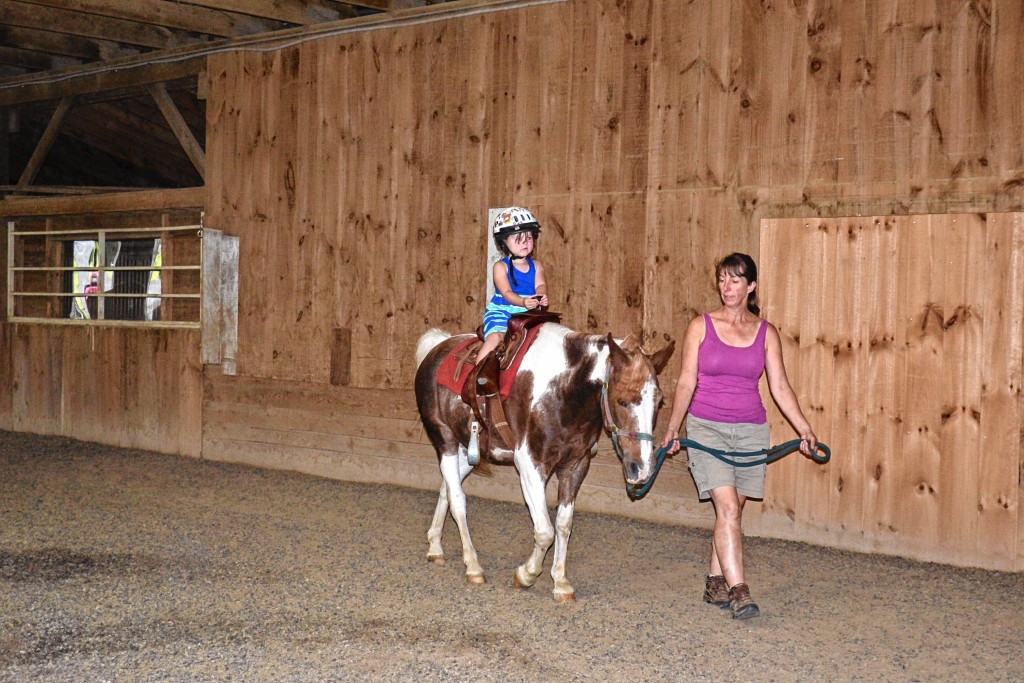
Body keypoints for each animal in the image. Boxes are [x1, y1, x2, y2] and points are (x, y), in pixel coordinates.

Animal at [411, 323, 675, 602]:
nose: (642, 468)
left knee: (446, 490)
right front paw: (526, 575)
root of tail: (437, 346)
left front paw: (560, 581)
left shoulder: (575, 466)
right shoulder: (530, 464)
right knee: (458, 501)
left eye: (659, 401)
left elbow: (563, 524)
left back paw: (435, 547)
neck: (562, 392)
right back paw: (473, 566)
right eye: (622, 400)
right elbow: (545, 530)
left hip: (465, 452)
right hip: (446, 442)